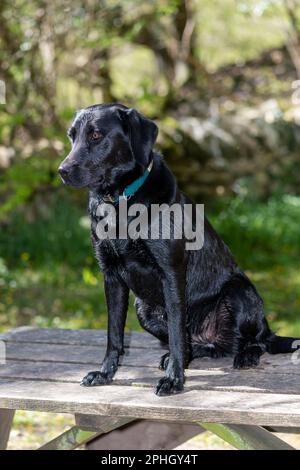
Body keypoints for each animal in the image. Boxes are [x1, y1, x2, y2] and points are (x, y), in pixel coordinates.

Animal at [59, 103, 300, 396]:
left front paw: (174, 380)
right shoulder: (111, 276)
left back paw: (246, 355)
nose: (62, 170)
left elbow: (175, 334)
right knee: (205, 346)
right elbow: (114, 334)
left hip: (239, 292)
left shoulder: (171, 272)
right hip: (144, 310)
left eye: (95, 136)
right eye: (72, 136)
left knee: (253, 341)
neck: (120, 201)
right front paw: (105, 373)